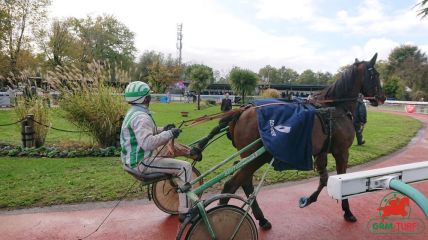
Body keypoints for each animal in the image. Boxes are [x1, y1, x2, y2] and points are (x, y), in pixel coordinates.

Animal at [192, 53, 386, 230]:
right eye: (375, 74)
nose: (382, 97)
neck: (334, 108)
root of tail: (243, 110)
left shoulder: (322, 151)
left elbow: (324, 178)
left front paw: (309, 199)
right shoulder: (342, 151)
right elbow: (340, 179)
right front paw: (347, 212)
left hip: (251, 156)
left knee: (244, 181)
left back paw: (261, 219)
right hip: (257, 156)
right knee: (232, 184)